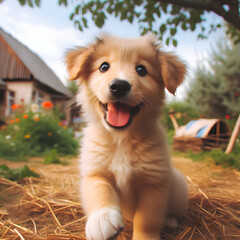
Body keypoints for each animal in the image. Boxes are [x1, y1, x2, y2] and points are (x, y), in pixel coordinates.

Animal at [65, 34, 188, 240]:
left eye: (141, 69)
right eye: (104, 66)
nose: (119, 86)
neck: (121, 139)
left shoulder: (154, 183)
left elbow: (146, 220)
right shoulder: (94, 171)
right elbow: (100, 189)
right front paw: (102, 218)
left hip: (178, 189)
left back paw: (171, 220)